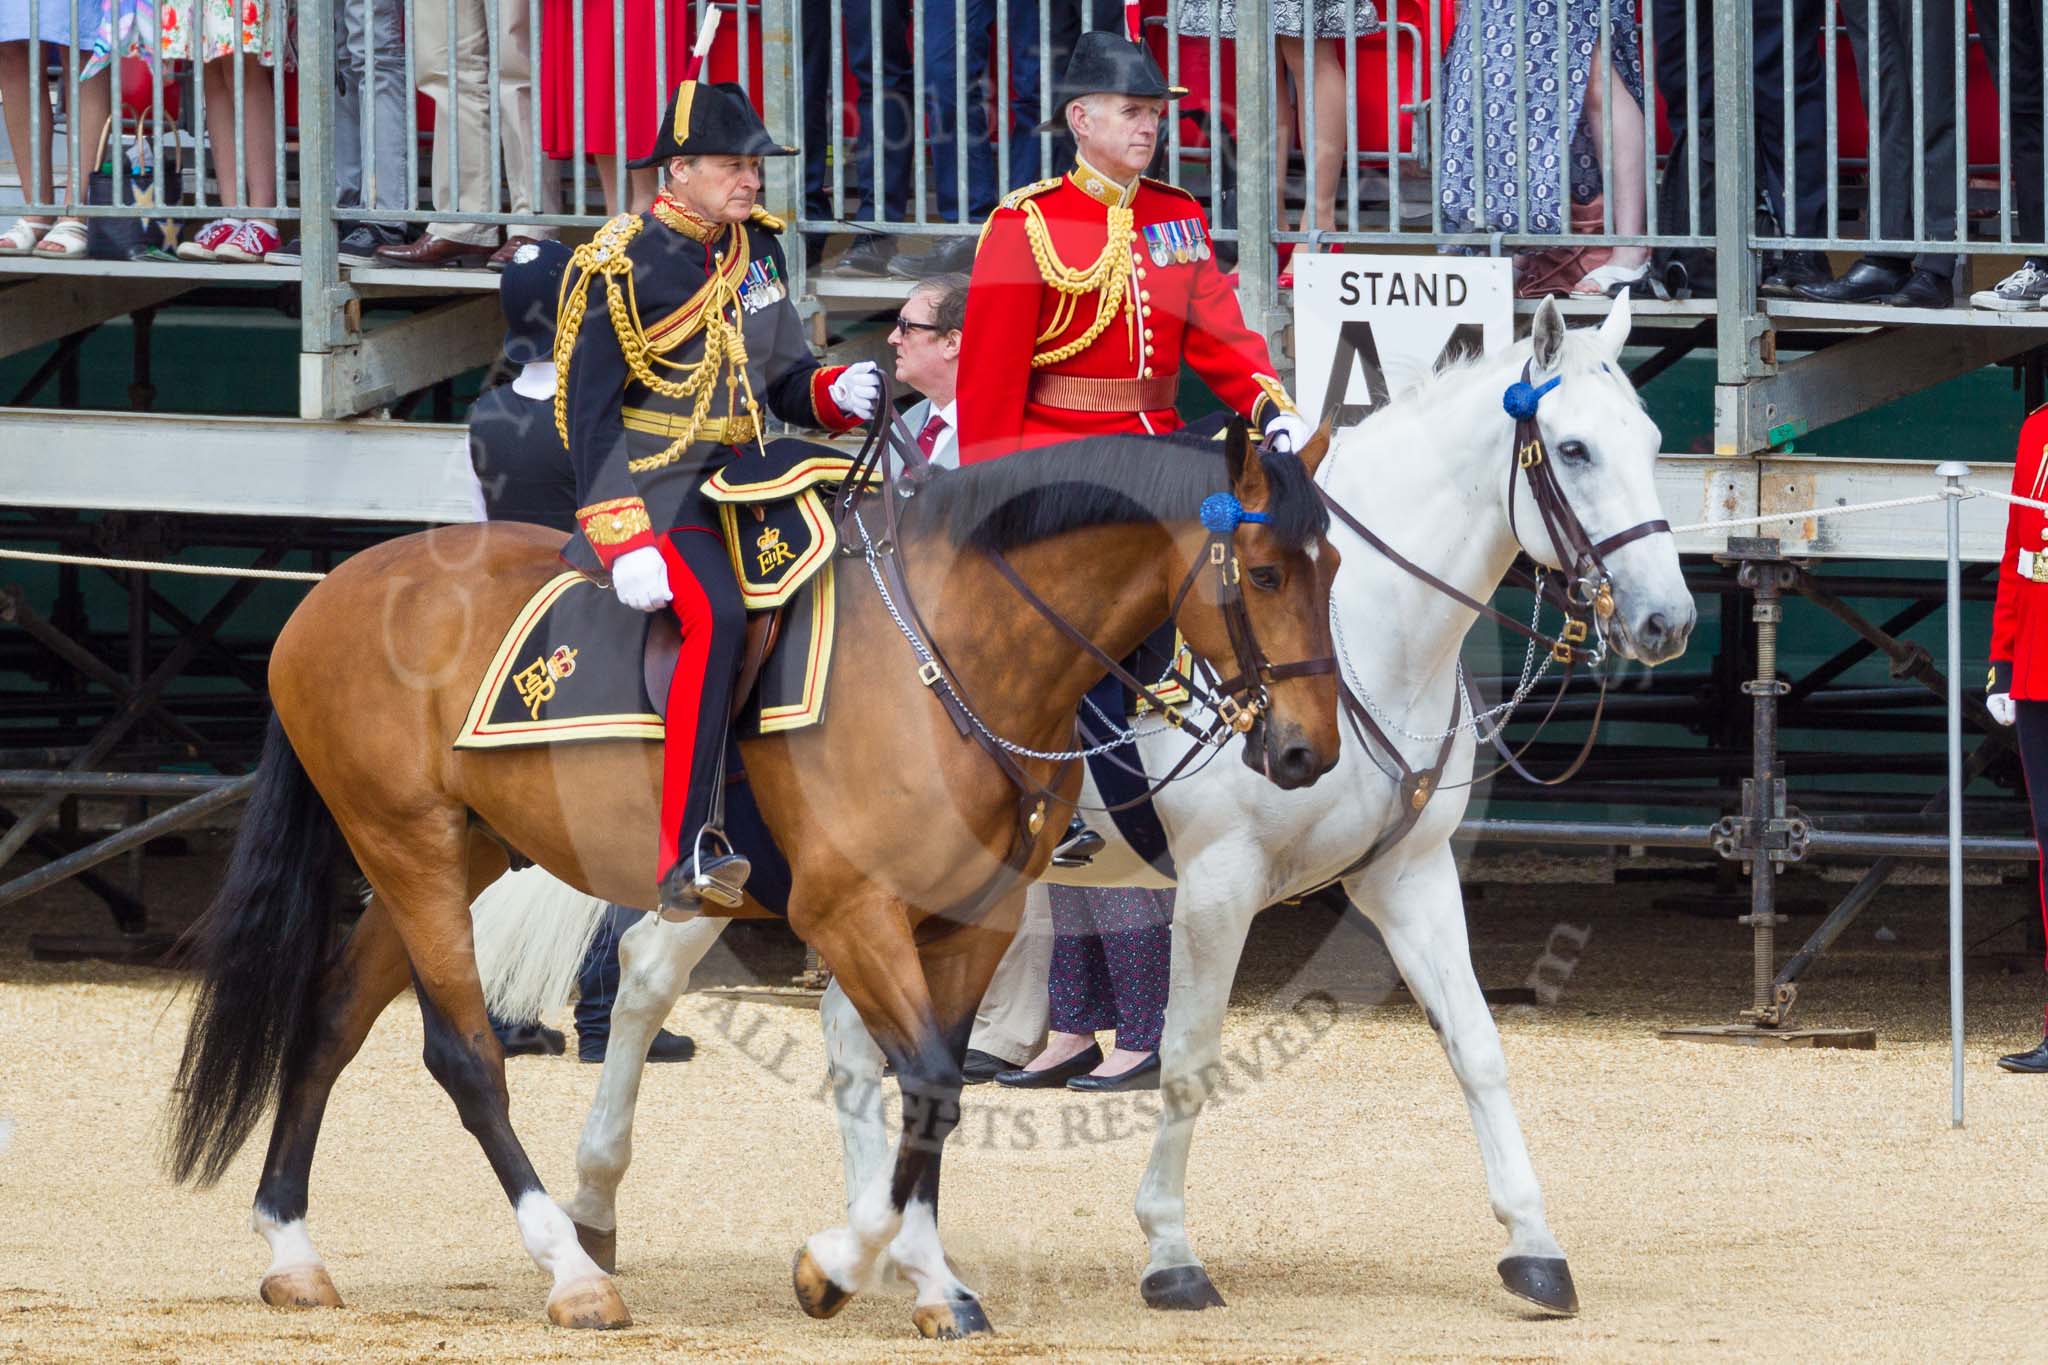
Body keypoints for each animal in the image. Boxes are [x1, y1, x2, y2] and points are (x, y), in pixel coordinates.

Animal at [163, 423, 1343, 1334]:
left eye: (1332, 571)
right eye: (1267, 573)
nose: (1306, 753)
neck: (949, 654)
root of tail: (333, 587)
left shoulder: (974, 922)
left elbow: (936, 1098)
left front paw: (932, 1284)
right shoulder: (849, 911)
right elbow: (925, 1078)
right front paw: (838, 1267)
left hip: (454, 848)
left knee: (330, 1021)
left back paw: (291, 1250)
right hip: (404, 845)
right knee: (463, 1055)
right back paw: (573, 1272)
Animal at [479, 294, 1695, 1317]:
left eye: (1650, 442)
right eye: (1573, 450)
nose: (1665, 622)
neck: (1366, 642)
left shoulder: (1406, 873)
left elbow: (1478, 1048)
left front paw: (1533, 1244)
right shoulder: (1221, 880)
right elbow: (1190, 1057)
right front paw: (1170, 1253)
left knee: (844, 1034)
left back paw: (878, 1246)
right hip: (757, 866)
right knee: (648, 978)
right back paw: (598, 1208)